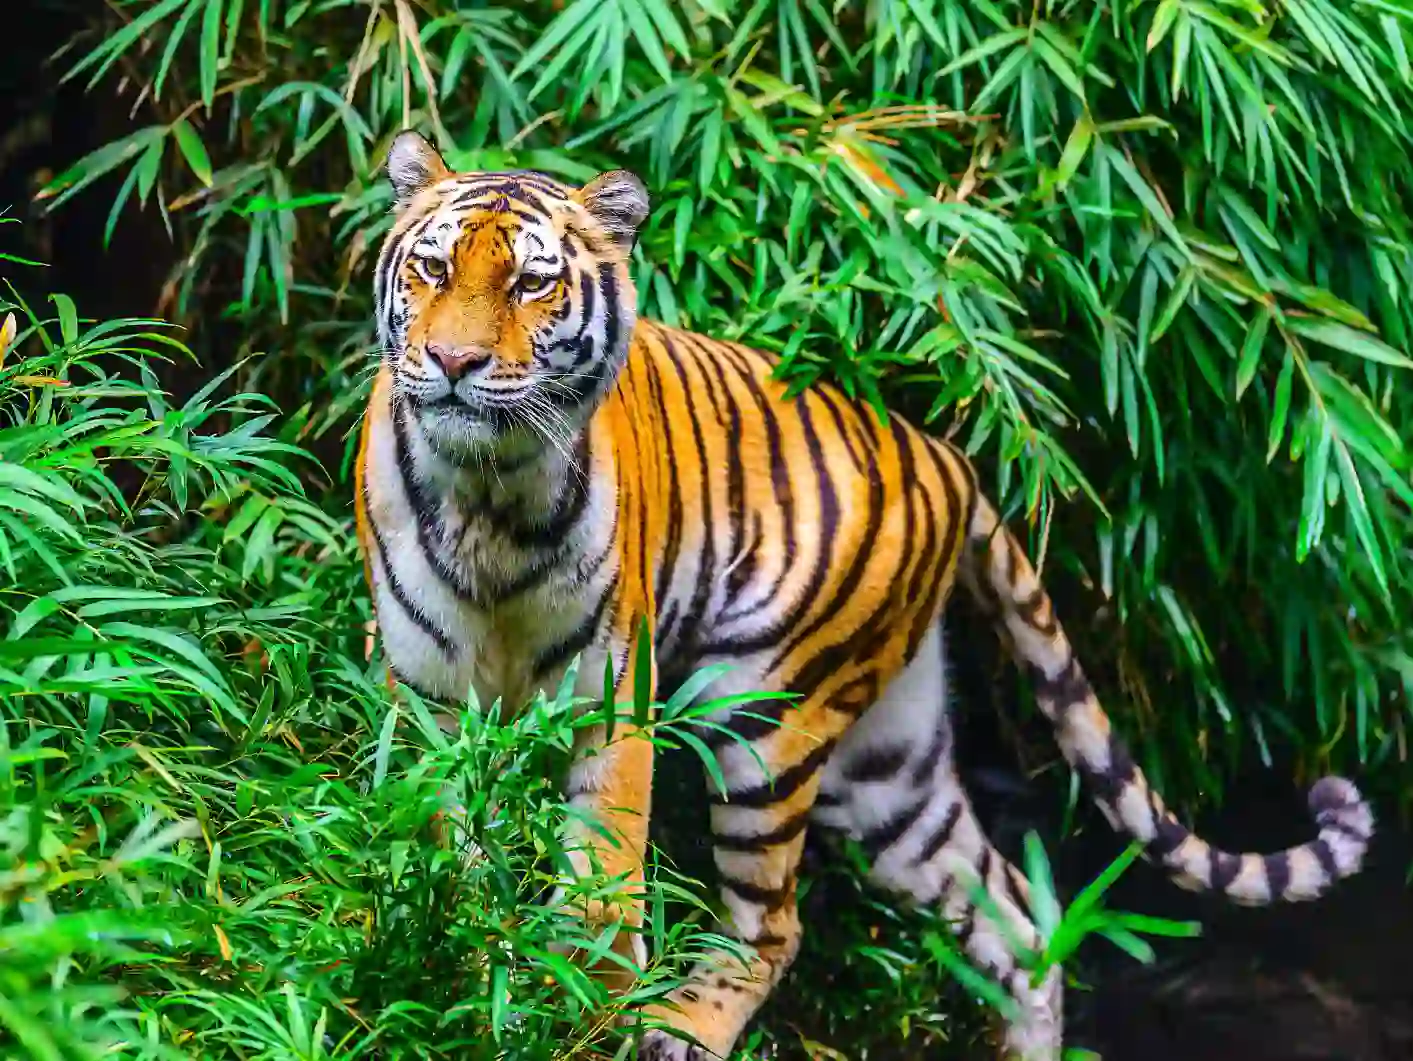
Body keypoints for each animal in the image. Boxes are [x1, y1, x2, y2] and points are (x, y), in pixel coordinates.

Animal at [350, 132, 1367, 1061]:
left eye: (531, 284)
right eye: (434, 267)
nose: (452, 362)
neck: (489, 493)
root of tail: (946, 454)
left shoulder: (610, 701)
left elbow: (600, 882)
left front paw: (580, 1013)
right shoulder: (427, 697)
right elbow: (445, 842)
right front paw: (456, 955)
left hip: (764, 719)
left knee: (775, 926)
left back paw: (680, 1028)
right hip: (890, 773)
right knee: (1015, 921)